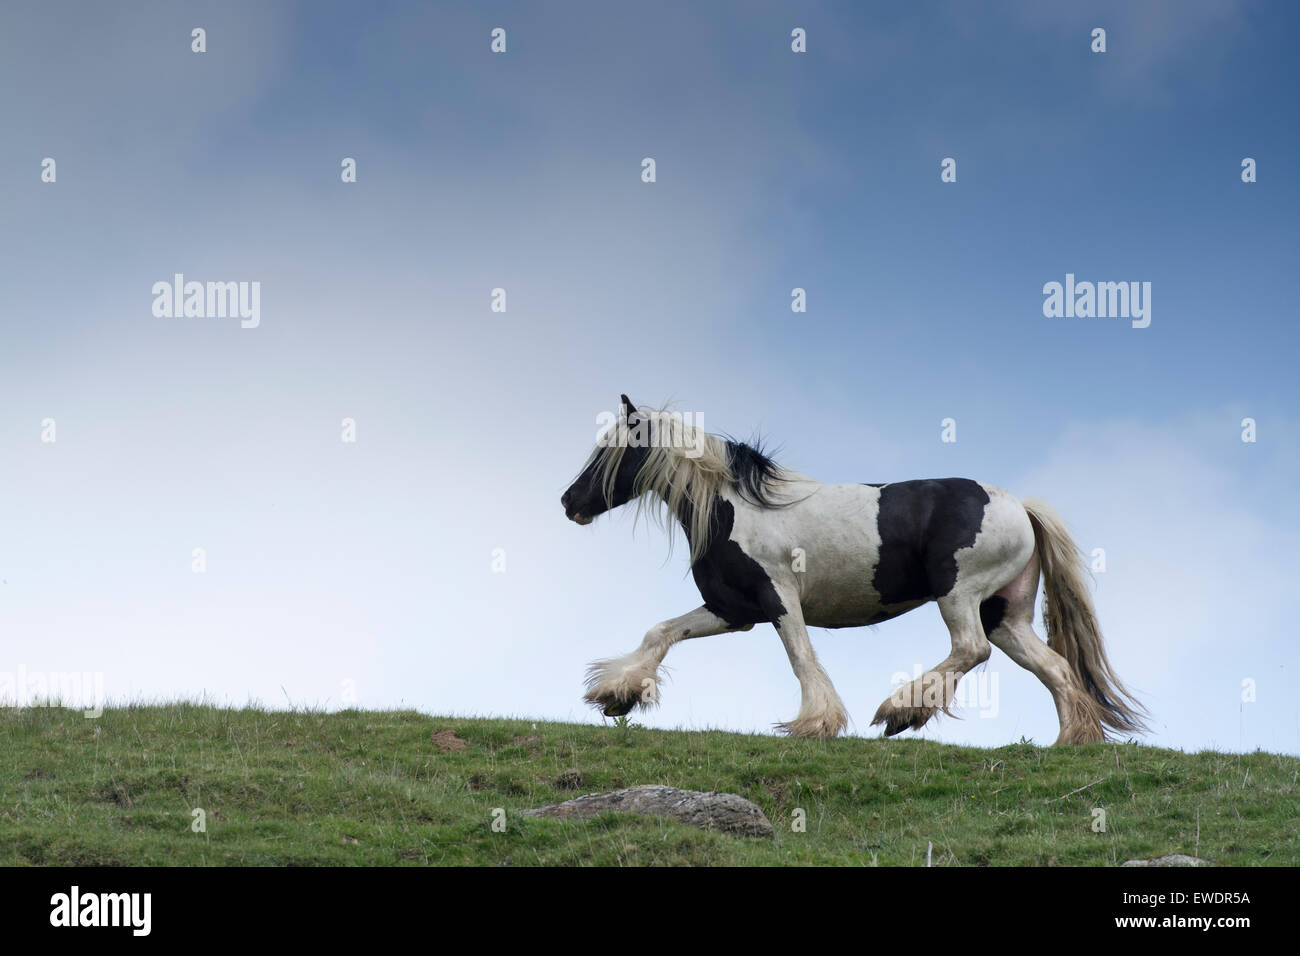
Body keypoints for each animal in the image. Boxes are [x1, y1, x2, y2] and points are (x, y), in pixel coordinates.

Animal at [561, 395, 1149, 749]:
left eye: (611, 452)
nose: (569, 503)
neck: (736, 510)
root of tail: (1021, 507)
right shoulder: (732, 610)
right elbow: (659, 633)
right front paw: (616, 695)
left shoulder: (779, 600)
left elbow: (801, 657)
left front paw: (815, 723)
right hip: (1006, 614)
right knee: (1056, 669)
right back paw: (1069, 741)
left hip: (960, 595)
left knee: (971, 650)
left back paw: (900, 711)